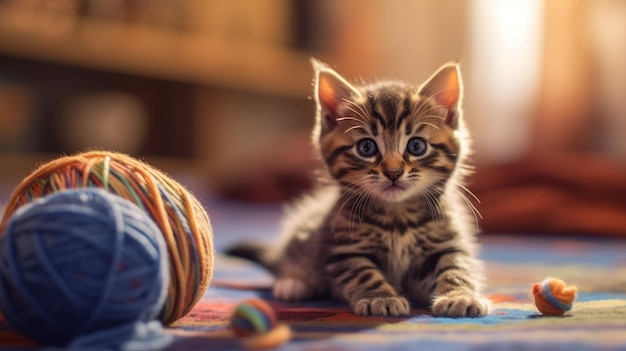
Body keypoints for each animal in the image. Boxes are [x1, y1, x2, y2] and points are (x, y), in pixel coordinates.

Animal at [227, 58, 490, 320]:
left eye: (416, 146)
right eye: (366, 147)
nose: (393, 172)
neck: (398, 218)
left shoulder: (447, 242)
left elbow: (455, 266)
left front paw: (460, 296)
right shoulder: (345, 248)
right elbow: (364, 272)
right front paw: (380, 298)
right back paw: (293, 284)